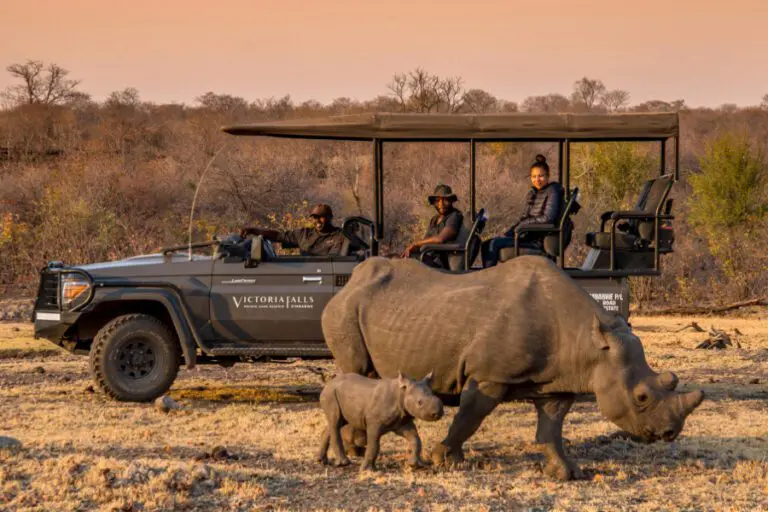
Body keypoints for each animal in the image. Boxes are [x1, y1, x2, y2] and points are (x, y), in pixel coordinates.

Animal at [321, 256, 705, 480]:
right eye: (641, 397)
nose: (669, 433)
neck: (588, 340)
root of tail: (349, 282)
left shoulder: (558, 380)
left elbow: (551, 427)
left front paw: (566, 473)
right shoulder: (490, 375)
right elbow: (471, 417)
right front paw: (445, 458)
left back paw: (357, 447)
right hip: (343, 312)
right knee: (354, 366)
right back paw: (356, 450)